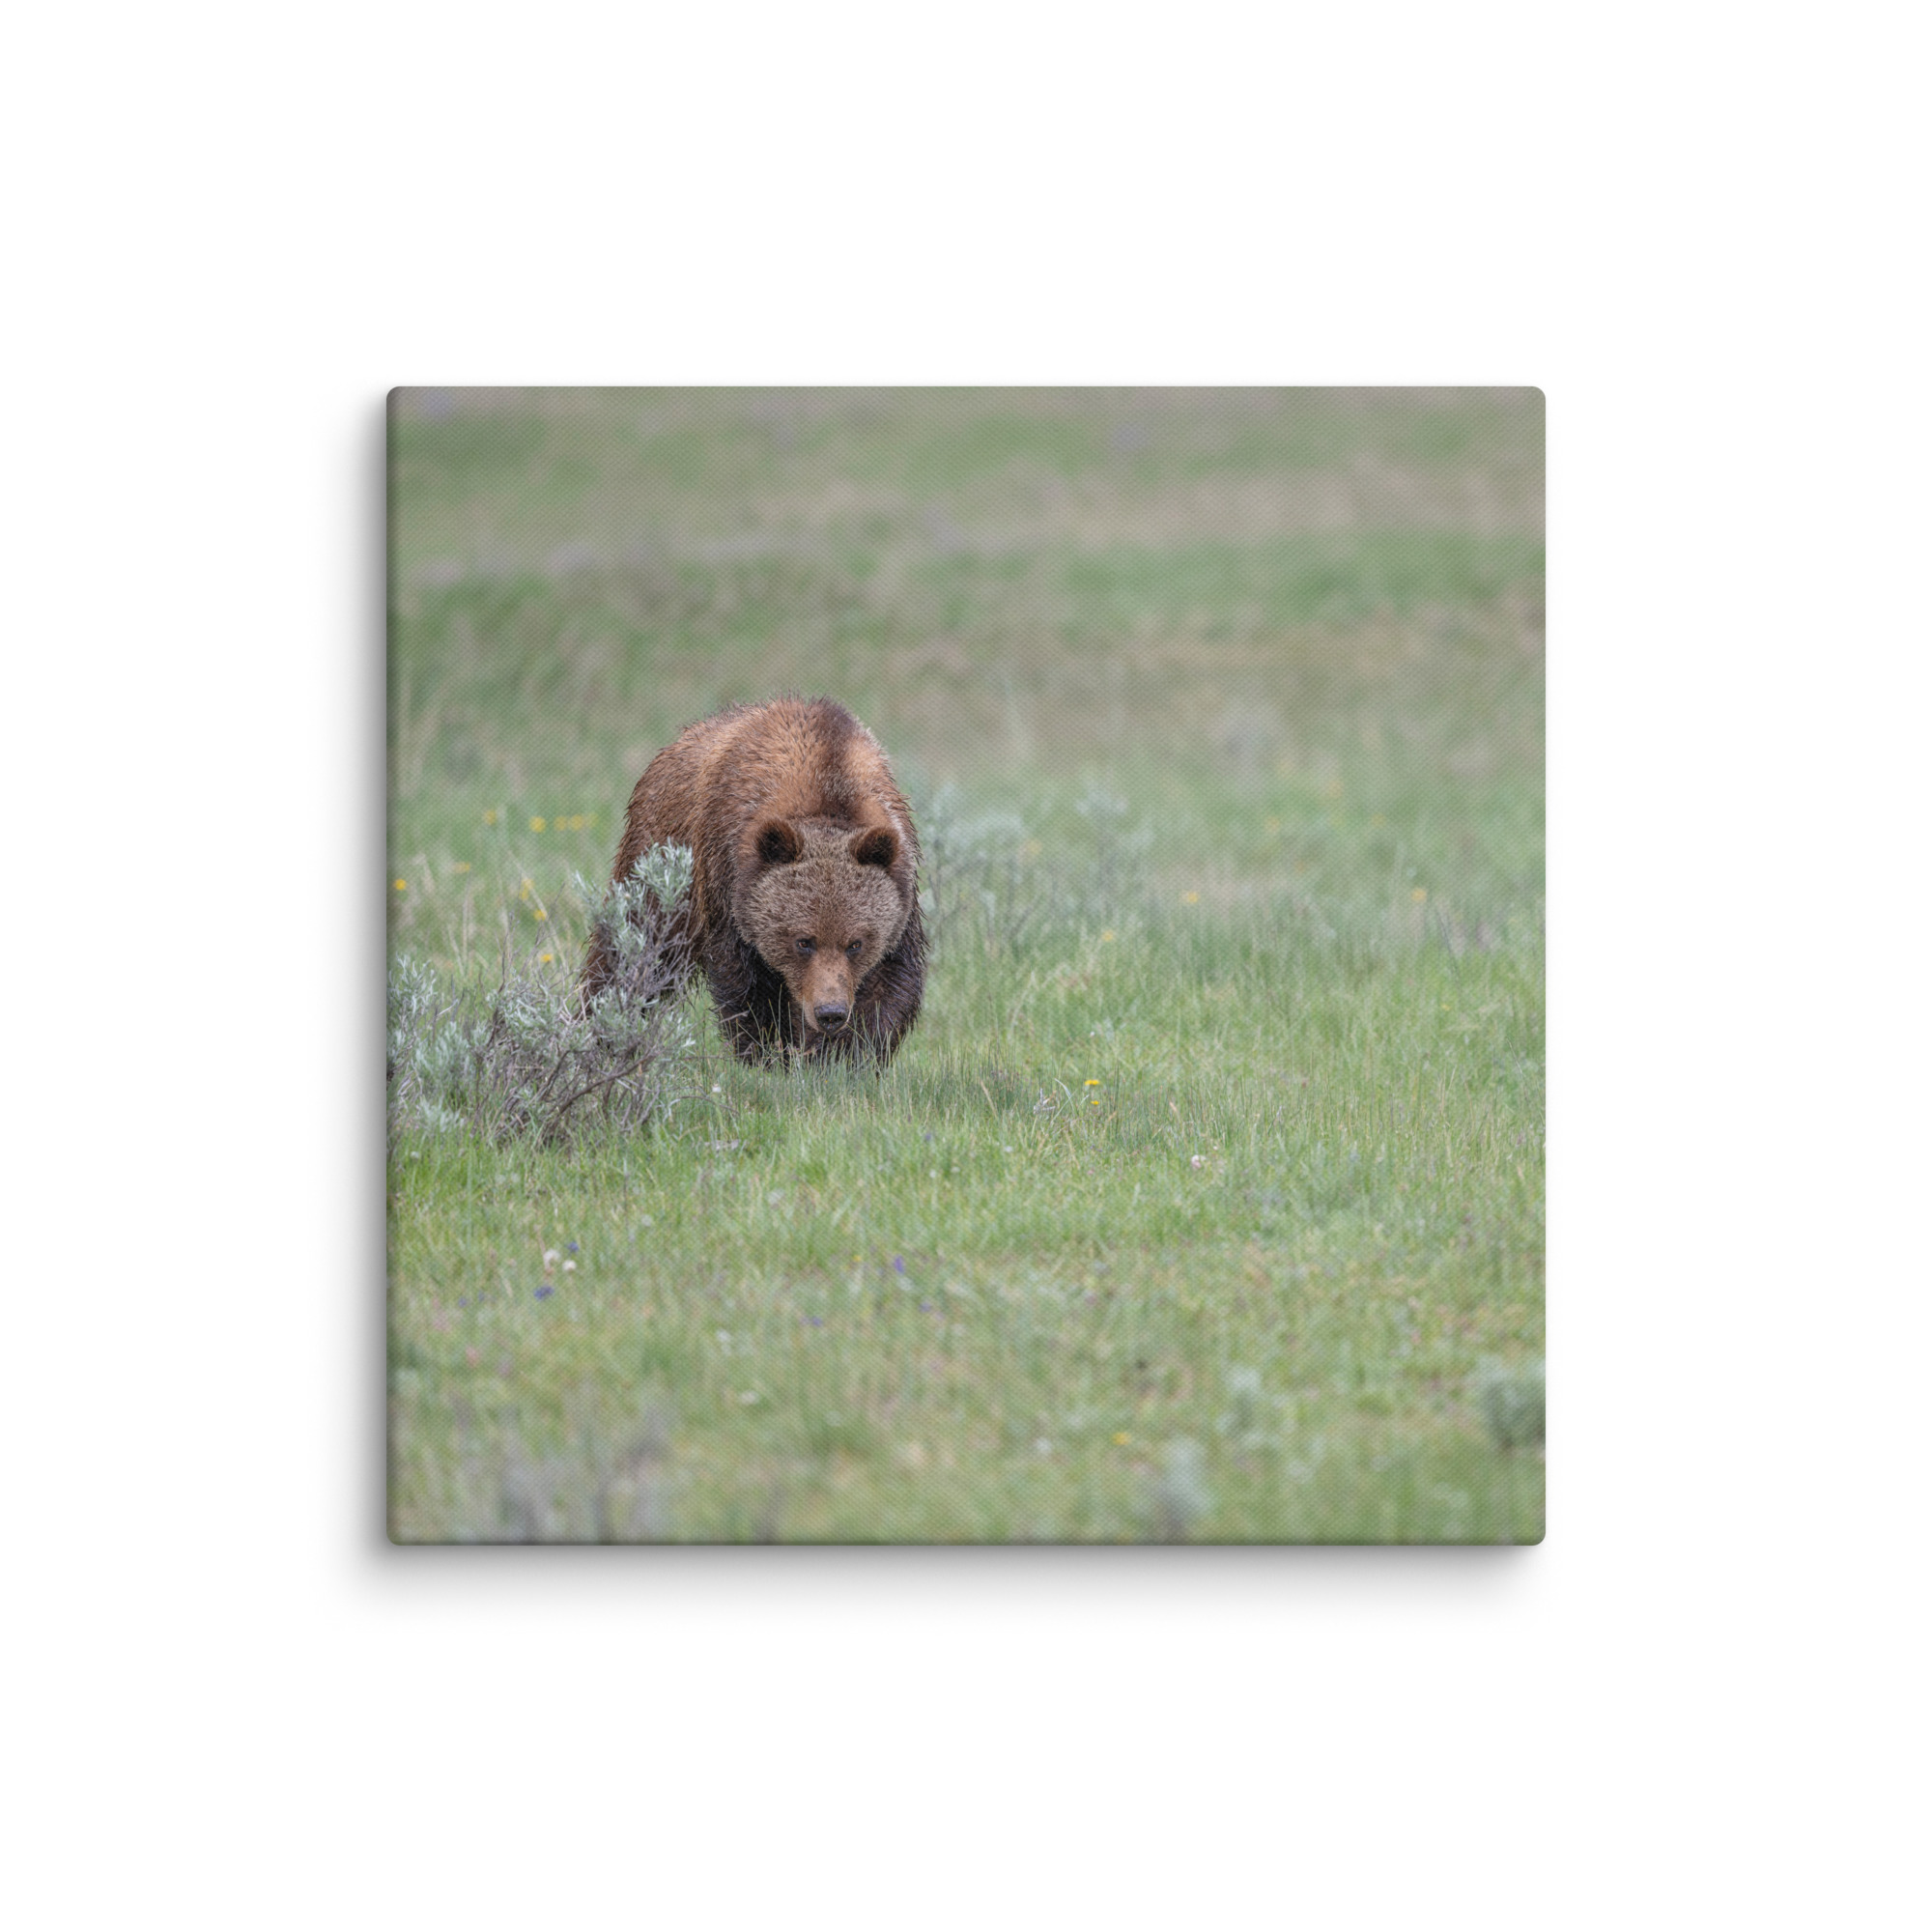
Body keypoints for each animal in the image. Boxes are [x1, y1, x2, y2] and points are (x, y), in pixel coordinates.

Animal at [583, 697, 926, 1064]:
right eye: (803, 941)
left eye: (856, 943)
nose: (830, 1012)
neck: (828, 785)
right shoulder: (728, 882)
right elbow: (748, 986)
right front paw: (768, 1053)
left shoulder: (900, 890)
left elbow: (889, 984)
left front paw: (843, 1056)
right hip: (660, 862)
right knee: (633, 948)